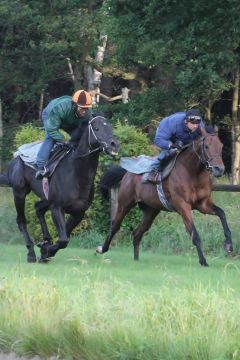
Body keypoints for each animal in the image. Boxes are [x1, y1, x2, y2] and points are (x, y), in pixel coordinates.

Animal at [0, 116, 119, 262]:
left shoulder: (78, 212)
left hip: (46, 198)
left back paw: (46, 239)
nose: (114, 144)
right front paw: (45, 251)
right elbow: (63, 240)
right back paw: (31, 253)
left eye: (110, 127)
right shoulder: (57, 207)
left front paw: (46, 250)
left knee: (38, 208)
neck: (77, 174)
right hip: (19, 192)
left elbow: (64, 236)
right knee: (21, 220)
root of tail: (17, 156)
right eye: (96, 128)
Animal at [97, 127, 232, 268]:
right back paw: (102, 249)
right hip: (125, 203)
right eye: (206, 146)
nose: (219, 169)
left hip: (151, 211)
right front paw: (203, 261)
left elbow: (222, 213)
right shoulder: (183, 206)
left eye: (221, 145)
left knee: (137, 233)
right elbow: (194, 234)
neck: (193, 173)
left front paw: (228, 244)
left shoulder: (203, 204)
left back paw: (136, 259)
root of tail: (127, 173)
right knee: (115, 225)